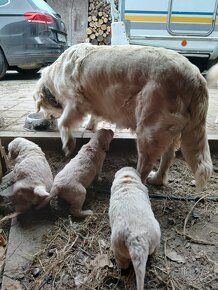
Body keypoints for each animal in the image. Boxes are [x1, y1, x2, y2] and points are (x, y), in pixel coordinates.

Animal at [33, 43, 213, 193]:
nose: (46, 121)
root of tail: (196, 78)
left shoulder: (76, 102)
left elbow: (64, 122)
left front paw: (68, 144)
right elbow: (93, 115)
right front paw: (90, 126)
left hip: (149, 128)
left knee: (146, 164)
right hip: (169, 130)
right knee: (168, 157)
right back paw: (157, 179)